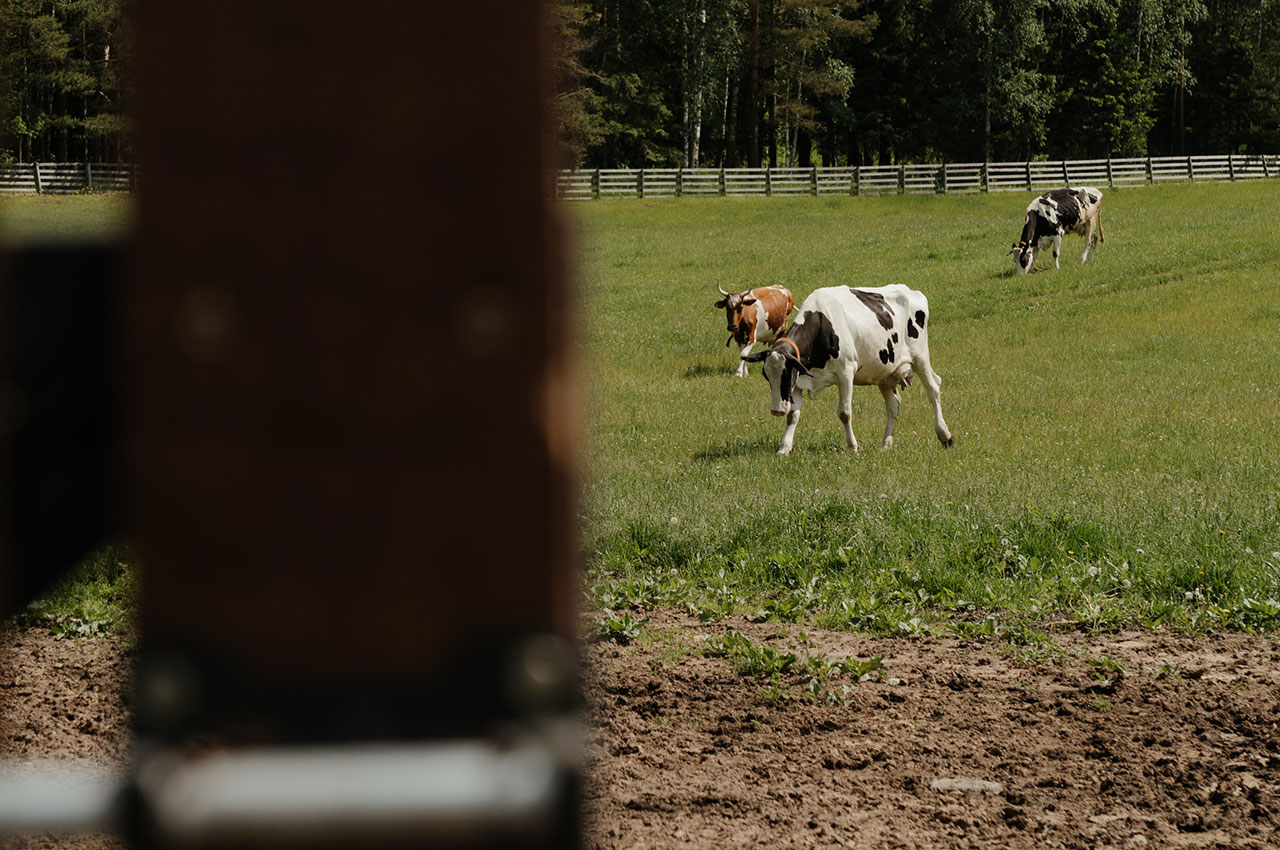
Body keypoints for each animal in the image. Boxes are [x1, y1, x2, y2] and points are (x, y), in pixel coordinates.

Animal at [742, 284, 952, 458]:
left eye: (785, 375)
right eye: (767, 376)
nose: (776, 410)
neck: (822, 324)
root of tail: (912, 292)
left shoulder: (845, 374)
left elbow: (845, 413)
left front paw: (852, 447)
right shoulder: (800, 380)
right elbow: (793, 415)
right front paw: (784, 448)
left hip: (920, 357)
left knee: (933, 389)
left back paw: (945, 435)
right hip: (885, 372)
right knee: (893, 405)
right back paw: (886, 444)